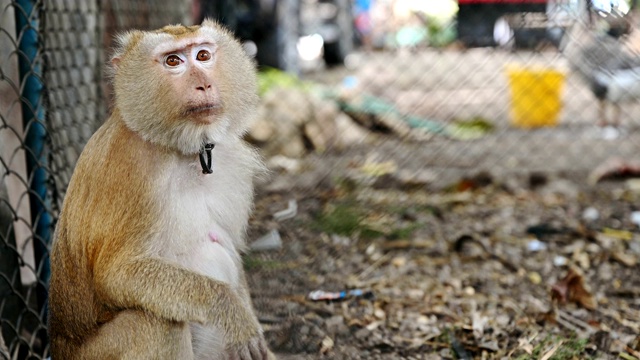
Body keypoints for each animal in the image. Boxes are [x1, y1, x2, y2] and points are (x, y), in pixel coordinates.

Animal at [46, 20, 274, 360]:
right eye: (173, 61)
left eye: (203, 55)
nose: (204, 85)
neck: (181, 150)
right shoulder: (134, 172)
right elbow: (118, 275)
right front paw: (229, 310)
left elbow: (230, 248)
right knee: (155, 321)